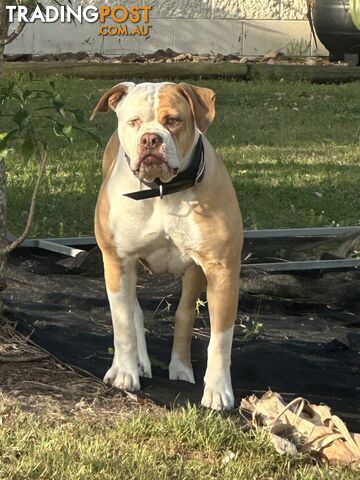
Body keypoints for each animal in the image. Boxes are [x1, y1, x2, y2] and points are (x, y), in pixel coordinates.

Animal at [90, 81, 243, 408]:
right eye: (133, 121)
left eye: (173, 120)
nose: (150, 138)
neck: (162, 190)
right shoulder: (117, 260)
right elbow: (122, 321)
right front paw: (124, 373)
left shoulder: (221, 269)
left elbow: (220, 337)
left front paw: (218, 390)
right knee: (133, 311)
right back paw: (136, 363)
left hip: (195, 272)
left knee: (184, 313)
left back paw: (180, 368)